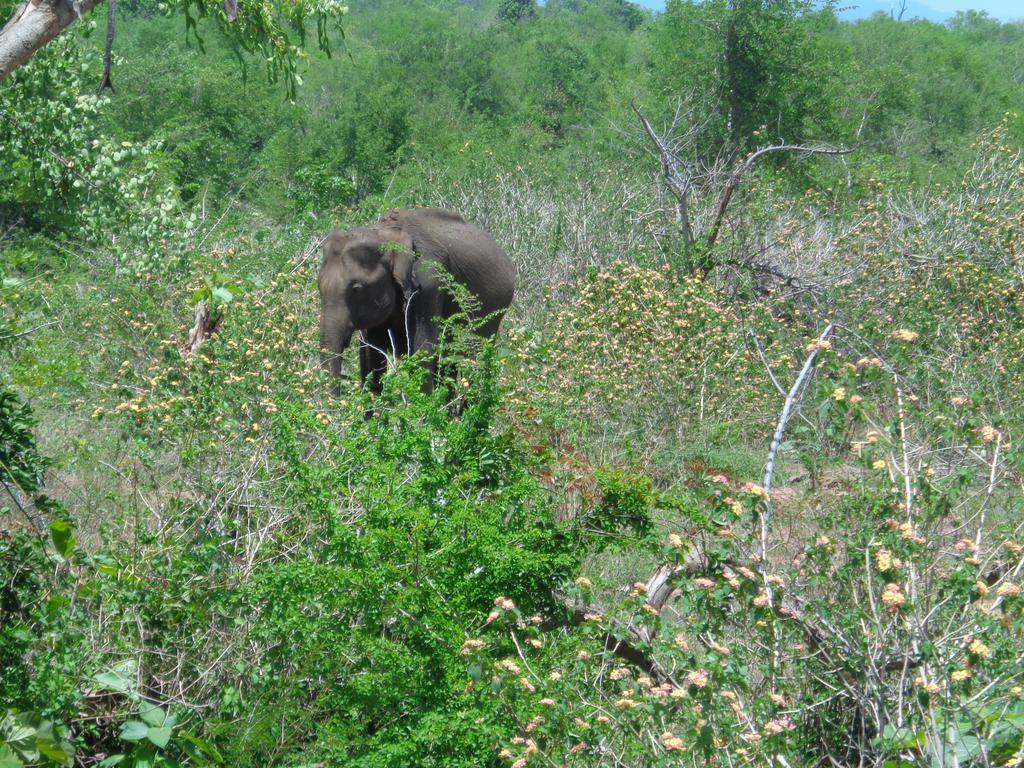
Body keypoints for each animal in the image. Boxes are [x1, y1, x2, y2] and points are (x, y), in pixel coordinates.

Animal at [315, 207, 516, 393]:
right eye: (319, 285)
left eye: (357, 288)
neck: (386, 233)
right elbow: (371, 355)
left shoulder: (428, 284)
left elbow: (423, 348)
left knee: (474, 359)